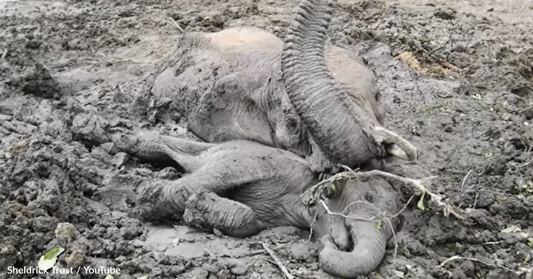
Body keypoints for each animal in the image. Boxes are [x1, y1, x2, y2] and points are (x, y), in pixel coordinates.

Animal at [100, 133, 402, 278]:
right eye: (369, 198)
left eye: (397, 225)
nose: (328, 243)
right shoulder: (258, 165)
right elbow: (214, 177)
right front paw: (148, 201)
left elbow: (252, 221)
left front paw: (199, 209)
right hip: (226, 148)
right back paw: (126, 142)